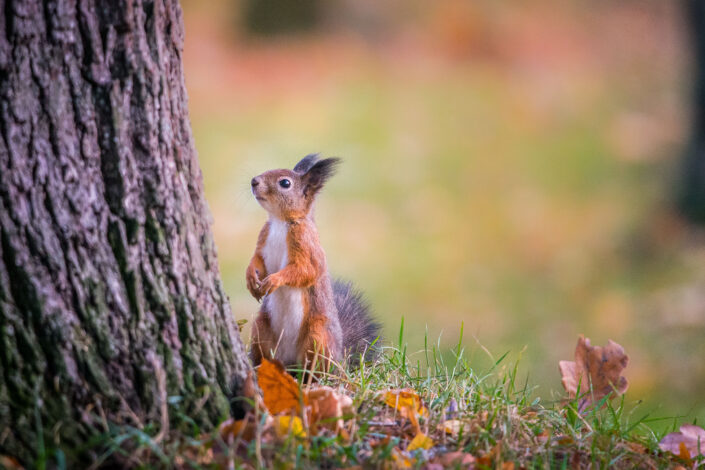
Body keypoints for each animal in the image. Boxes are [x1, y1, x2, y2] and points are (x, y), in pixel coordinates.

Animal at [246, 154, 380, 370]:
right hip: (260, 328)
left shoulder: (306, 244)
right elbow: (257, 260)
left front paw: (274, 280)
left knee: (320, 367)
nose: (254, 181)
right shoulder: (263, 239)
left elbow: (305, 271)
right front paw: (250, 277)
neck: (280, 222)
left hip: (317, 335)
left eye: (285, 183)